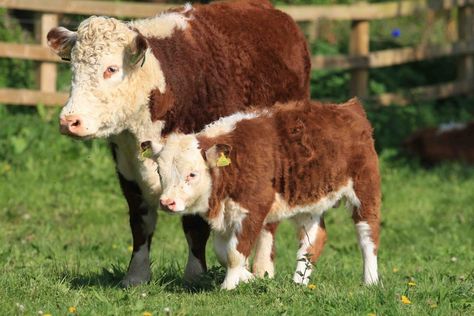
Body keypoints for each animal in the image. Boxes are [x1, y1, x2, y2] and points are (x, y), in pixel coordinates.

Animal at [46, 0, 310, 286]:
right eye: (73, 68)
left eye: (111, 69)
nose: (69, 121)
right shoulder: (127, 169)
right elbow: (140, 224)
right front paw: (136, 276)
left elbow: (195, 225)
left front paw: (195, 274)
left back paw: (263, 268)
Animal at [156, 98, 382, 288]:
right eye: (160, 171)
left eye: (192, 174)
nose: (167, 202)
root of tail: (349, 107)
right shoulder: (226, 214)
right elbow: (222, 252)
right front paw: (252, 278)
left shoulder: (253, 209)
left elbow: (234, 253)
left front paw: (228, 286)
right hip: (307, 203)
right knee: (312, 242)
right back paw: (298, 284)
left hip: (365, 189)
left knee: (368, 234)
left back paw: (371, 281)